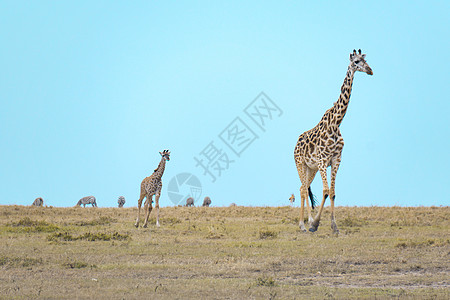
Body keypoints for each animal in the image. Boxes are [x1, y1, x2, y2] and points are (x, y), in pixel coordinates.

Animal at [294, 49, 370, 233]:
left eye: (366, 60)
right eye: (356, 62)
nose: (370, 70)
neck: (336, 123)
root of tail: (295, 143)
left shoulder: (336, 159)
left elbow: (333, 192)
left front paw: (334, 227)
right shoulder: (323, 160)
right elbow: (326, 190)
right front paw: (315, 224)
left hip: (311, 168)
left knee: (302, 188)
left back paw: (306, 222)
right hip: (301, 164)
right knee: (303, 190)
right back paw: (304, 224)